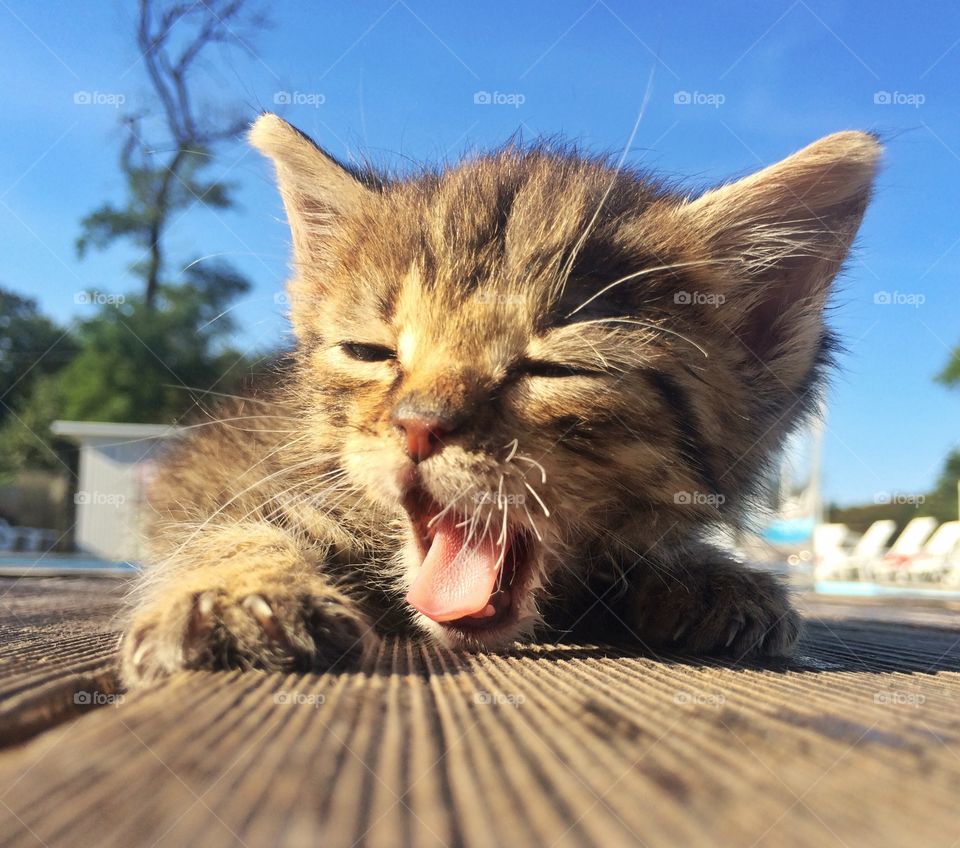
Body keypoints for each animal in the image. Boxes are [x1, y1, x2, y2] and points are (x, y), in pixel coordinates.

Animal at [118, 112, 876, 684]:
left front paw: (703, 575)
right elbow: (230, 526)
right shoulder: (246, 471)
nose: (417, 425)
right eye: (371, 353)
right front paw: (239, 594)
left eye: (555, 368)